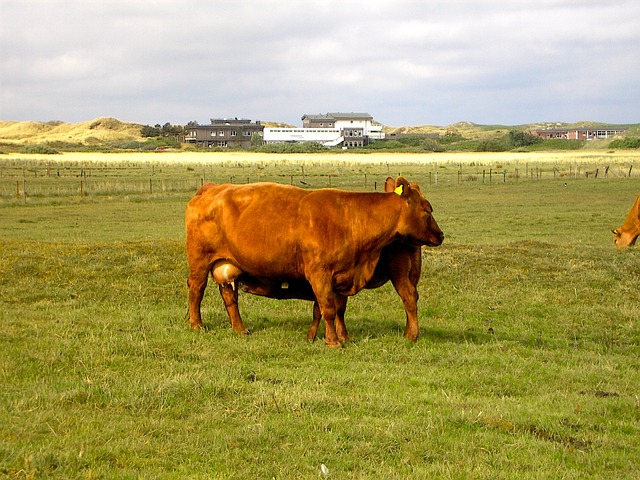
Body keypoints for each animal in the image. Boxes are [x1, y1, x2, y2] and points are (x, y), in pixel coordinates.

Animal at [188, 176, 442, 344]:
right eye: (428, 209)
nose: (441, 235)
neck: (352, 218)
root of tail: (211, 188)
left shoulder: (340, 276)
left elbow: (332, 309)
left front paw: (340, 337)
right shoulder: (320, 275)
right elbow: (328, 309)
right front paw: (333, 341)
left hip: (226, 266)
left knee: (229, 296)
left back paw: (240, 329)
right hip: (199, 261)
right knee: (196, 290)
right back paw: (197, 325)